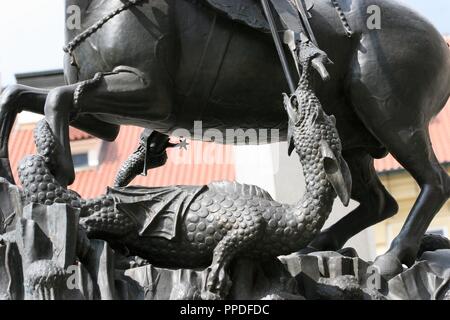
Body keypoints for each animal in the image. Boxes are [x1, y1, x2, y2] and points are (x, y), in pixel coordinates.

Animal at [0, 0, 448, 278]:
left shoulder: (147, 92)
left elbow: (56, 97)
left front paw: (58, 165)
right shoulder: (105, 116)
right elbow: (21, 95)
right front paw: (12, 169)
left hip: (391, 115)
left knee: (434, 182)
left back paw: (390, 259)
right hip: (352, 138)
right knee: (379, 201)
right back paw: (318, 245)